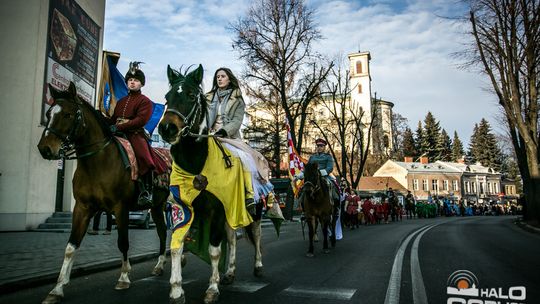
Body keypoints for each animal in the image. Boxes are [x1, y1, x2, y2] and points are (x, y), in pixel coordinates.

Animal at [36, 82, 169, 302]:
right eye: (48, 113)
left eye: (68, 115)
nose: (45, 149)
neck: (97, 162)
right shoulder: (82, 208)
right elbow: (71, 246)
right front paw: (57, 288)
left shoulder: (120, 208)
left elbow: (123, 242)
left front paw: (123, 277)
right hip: (157, 207)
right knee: (163, 231)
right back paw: (160, 266)